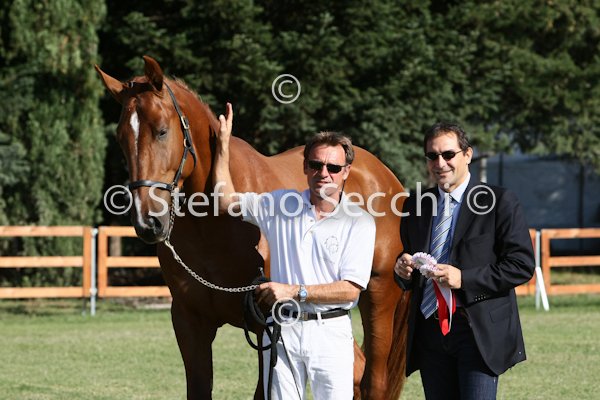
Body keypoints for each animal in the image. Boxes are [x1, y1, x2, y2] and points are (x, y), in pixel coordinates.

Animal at [95, 55, 409, 399]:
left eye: (162, 131)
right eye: (120, 138)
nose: (147, 221)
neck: (212, 228)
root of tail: (384, 176)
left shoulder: (266, 327)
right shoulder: (190, 323)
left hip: (379, 297)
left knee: (372, 378)